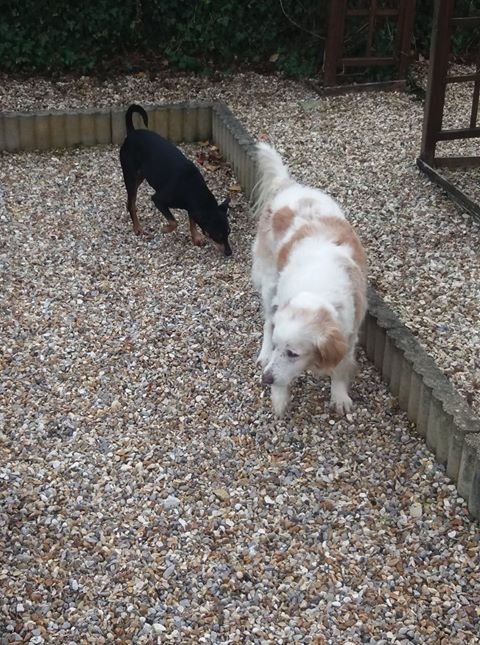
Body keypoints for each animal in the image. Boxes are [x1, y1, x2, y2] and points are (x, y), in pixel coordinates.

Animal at [119, 104, 232, 256]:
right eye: (217, 235)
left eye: (229, 232)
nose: (229, 253)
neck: (192, 188)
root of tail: (131, 133)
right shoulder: (158, 199)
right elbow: (175, 222)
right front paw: (165, 229)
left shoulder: (192, 207)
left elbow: (192, 222)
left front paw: (196, 238)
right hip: (130, 174)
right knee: (132, 201)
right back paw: (138, 228)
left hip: (140, 176)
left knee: (130, 200)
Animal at [251, 142, 367, 417]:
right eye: (279, 347)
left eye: (293, 353)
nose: (266, 379)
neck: (318, 289)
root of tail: (289, 186)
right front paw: (279, 397)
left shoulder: (349, 333)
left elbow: (340, 368)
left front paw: (339, 396)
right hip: (269, 283)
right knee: (267, 321)